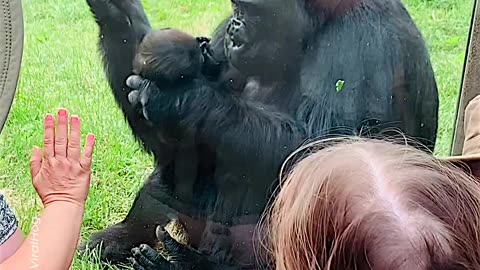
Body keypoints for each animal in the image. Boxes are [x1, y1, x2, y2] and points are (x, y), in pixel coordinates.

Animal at [83, 0, 438, 268]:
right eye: (234, 8)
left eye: (250, 8)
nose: (235, 25)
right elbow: (179, 150)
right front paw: (115, 12)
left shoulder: (363, 36)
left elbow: (327, 153)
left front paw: (181, 98)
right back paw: (126, 236)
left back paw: (194, 265)